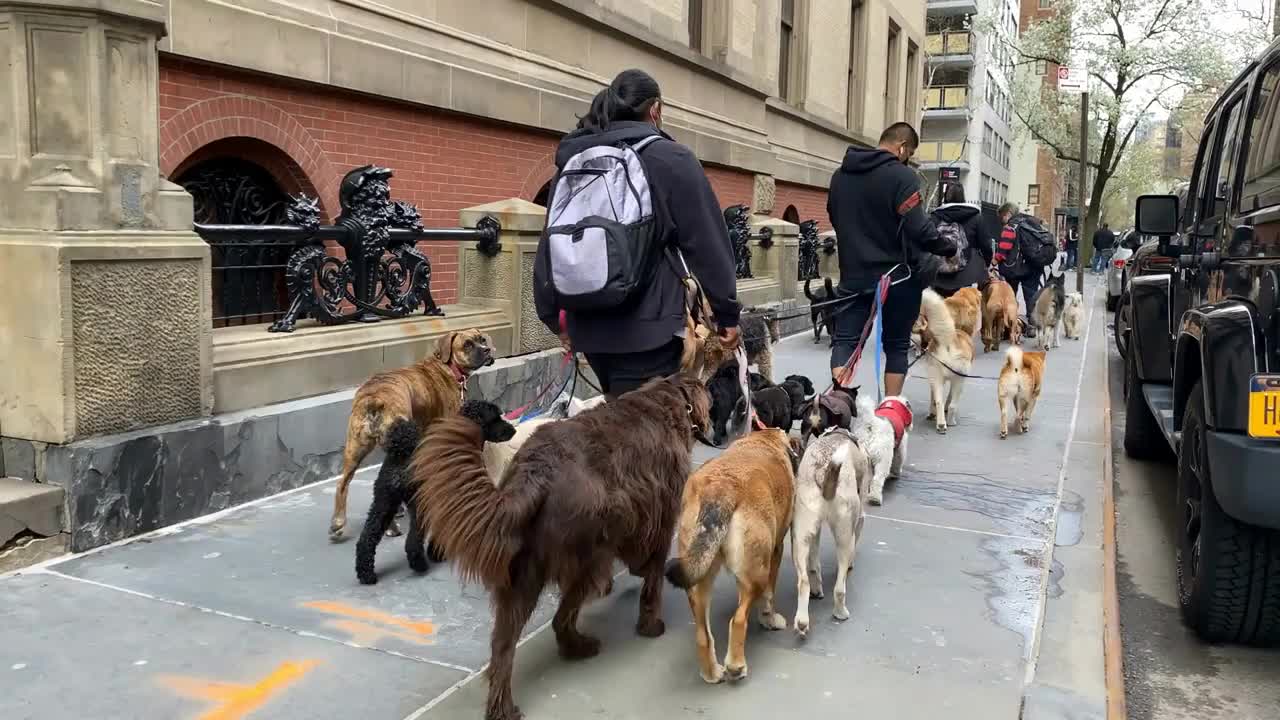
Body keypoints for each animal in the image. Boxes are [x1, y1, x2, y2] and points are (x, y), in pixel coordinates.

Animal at [325, 326, 494, 538]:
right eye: (467, 345)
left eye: (482, 339)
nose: (487, 350)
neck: (447, 365)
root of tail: (374, 399)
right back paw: (391, 528)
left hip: (355, 448)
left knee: (343, 483)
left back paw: (338, 522)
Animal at [409, 371, 711, 712]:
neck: (666, 398)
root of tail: (536, 471)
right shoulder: (658, 519)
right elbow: (653, 580)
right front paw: (650, 624)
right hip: (589, 557)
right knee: (561, 617)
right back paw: (578, 646)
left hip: (523, 575)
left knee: (503, 646)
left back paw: (504, 708)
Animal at [665, 427, 793, 681]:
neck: (763, 440)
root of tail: (721, 488)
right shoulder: (776, 550)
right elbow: (769, 596)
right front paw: (770, 619)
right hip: (757, 575)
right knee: (739, 619)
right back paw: (736, 666)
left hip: (698, 577)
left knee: (703, 635)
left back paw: (711, 672)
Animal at [788, 425, 870, 632]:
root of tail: (822, 471)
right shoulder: (860, 519)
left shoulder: (813, 533)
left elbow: (814, 564)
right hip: (844, 536)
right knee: (840, 588)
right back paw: (840, 612)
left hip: (800, 536)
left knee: (804, 581)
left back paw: (803, 621)